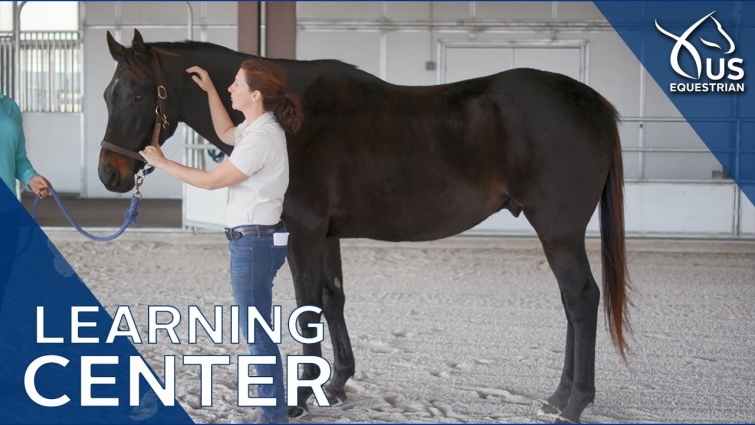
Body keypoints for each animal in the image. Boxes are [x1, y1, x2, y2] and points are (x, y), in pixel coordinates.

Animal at [99, 29, 630, 424]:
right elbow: (333, 299)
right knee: (571, 303)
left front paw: (298, 399)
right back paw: (558, 396)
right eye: (107, 94)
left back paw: (573, 402)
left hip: (558, 230)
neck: (290, 114)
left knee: (580, 299)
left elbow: (307, 309)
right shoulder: (328, 234)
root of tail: (593, 103)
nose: (110, 174)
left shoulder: (305, 232)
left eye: (140, 94)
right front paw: (335, 384)